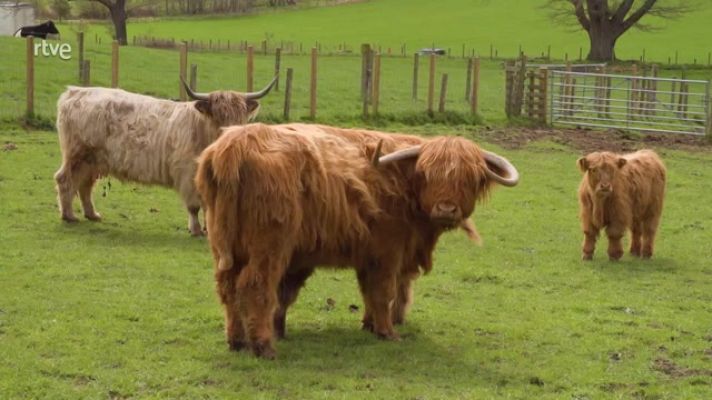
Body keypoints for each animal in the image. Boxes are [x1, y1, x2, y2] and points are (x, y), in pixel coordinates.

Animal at [54, 78, 276, 235]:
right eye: (218, 115)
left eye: (241, 115)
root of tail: (75, 92)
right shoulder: (188, 174)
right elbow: (194, 206)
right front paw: (196, 230)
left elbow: (209, 206)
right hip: (78, 156)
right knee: (65, 180)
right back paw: (69, 216)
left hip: (94, 161)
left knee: (84, 186)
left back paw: (92, 215)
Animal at [195, 123, 519, 358]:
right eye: (427, 173)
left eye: (470, 178)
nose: (446, 209)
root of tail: (236, 145)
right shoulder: (387, 252)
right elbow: (385, 292)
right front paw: (388, 332)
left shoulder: (371, 257)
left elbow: (370, 293)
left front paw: (369, 324)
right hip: (269, 246)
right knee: (255, 286)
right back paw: (263, 347)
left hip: (225, 246)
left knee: (227, 287)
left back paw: (237, 341)